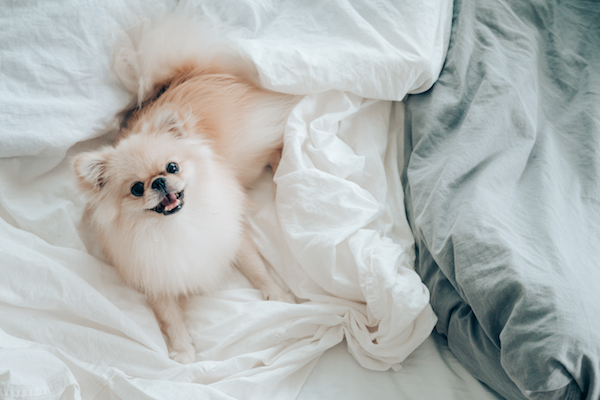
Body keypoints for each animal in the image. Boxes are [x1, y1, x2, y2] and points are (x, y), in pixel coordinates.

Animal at [72, 15, 298, 364]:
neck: (177, 226)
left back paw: (280, 167)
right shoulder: (153, 275)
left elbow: (257, 268)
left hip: (251, 149)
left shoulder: (231, 236)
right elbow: (169, 315)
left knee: (273, 145)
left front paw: (279, 295)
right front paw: (182, 351)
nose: (158, 181)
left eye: (172, 167)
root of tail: (192, 74)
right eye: (136, 188)